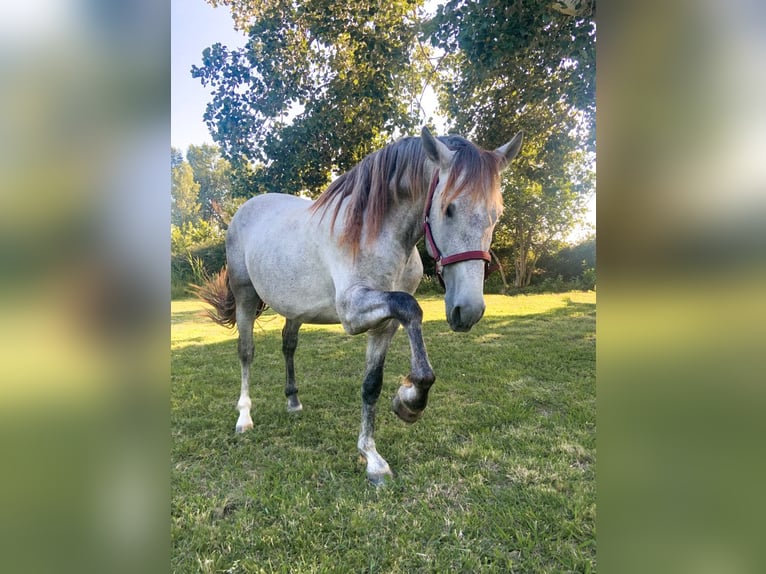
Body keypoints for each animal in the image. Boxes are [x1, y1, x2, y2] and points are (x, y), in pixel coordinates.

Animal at [195, 127, 524, 486]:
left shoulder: (384, 322)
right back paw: (244, 417)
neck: (373, 231)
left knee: (288, 344)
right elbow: (412, 307)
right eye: (448, 208)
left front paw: (374, 453)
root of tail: (246, 209)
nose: (469, 310)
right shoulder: (354, 312)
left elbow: (372, 385)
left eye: (497, 216)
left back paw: (293, 401)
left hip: (295, 307)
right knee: (246, 352)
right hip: (245, 296)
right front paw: (410, 402)